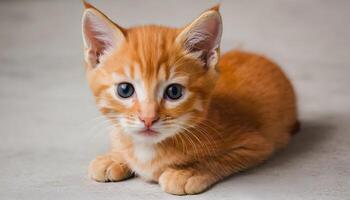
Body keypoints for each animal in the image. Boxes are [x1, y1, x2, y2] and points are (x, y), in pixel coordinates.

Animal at [81, 0, 298, 195]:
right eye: (125, 90)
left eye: (174, 92)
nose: (148, 119)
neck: (148, 148)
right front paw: (114, 157)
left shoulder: (256, 145)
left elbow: (221, 159)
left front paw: (188, 172)